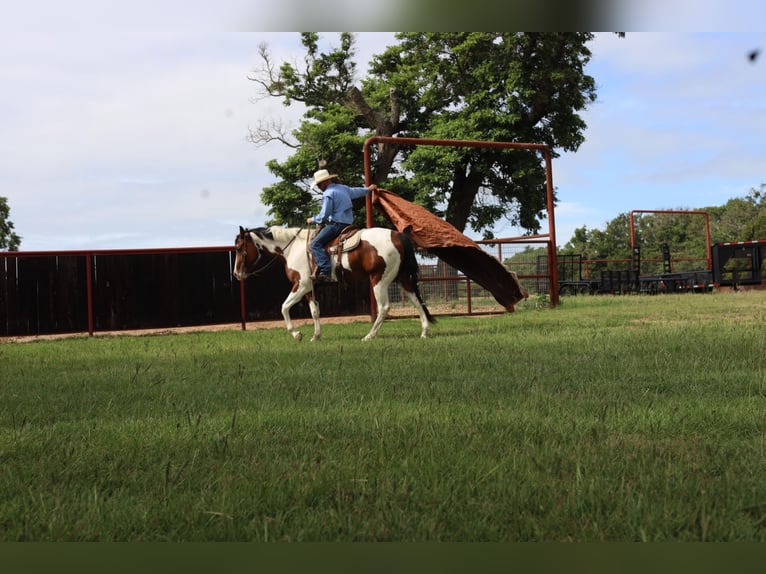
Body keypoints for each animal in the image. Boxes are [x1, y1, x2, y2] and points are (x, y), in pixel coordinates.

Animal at [232, 226, 438, 342]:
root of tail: (397, 235)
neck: (293, 248)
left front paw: (297, 334)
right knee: (417, 302)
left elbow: (284, 307)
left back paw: (369, 336)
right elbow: (315, 311)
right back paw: (424, 332)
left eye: (240, 248)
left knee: (384, 307)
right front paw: (316, 336)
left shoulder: (301, 284)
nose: (236, 273)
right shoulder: (310, 288)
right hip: (403, 278)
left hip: (379, 280)